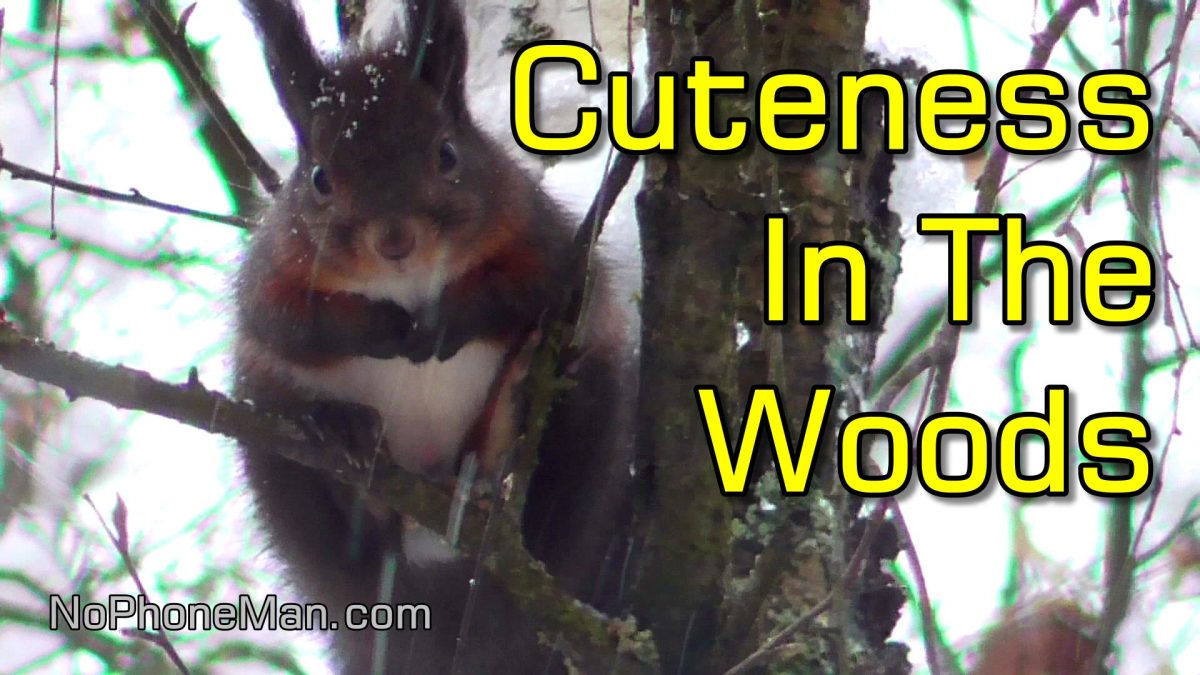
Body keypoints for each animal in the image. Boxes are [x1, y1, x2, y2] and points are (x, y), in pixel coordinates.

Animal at [228, 1, 633, 667]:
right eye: (319, 178)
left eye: (447, 154)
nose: (395, 240)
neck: (410, 283)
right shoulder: (273, 270)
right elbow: (288, 326)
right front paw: (380, 327)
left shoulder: (538, 232)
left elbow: (533, 290)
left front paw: (446, 319)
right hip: (266, 431)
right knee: (360, 531)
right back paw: (346, 435)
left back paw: (515, 406)